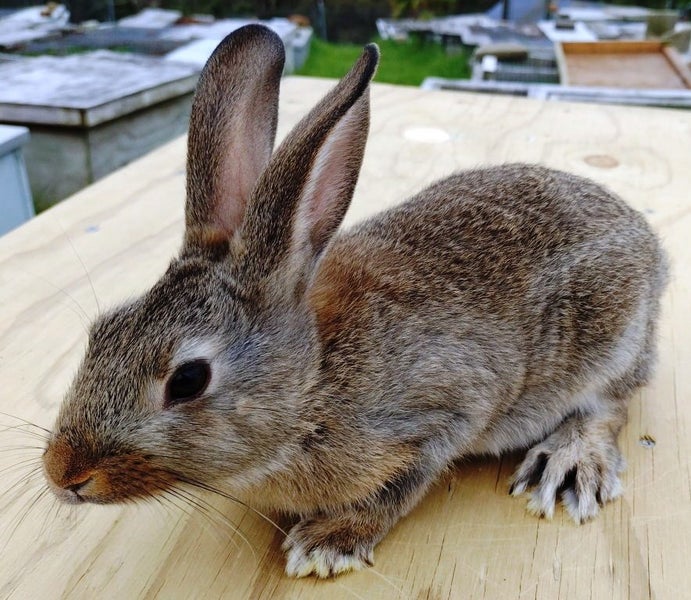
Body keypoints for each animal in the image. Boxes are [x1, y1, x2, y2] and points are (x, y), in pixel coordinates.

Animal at [42, 24, 669, 579]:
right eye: (102, 331)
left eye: (188, 380)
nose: (63, 475)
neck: (313, 380)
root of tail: (651, 248)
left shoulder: (440, 414)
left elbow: (398, 488)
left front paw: (326, 543)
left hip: (608, 340)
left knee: (609, 406)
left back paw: (568, 464)